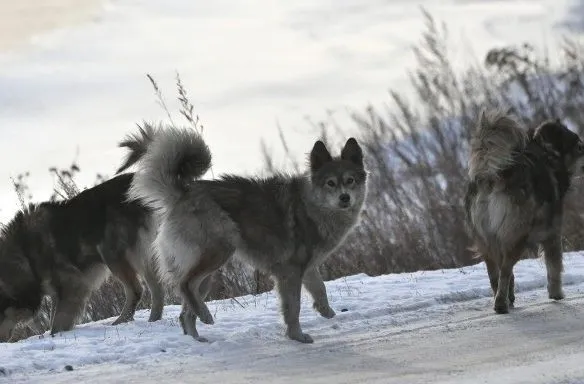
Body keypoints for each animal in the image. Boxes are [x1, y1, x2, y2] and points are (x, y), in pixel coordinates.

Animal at [0, 174, 164, 342]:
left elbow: (57, 322)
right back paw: (153, 321)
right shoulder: (58, 291)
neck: (25, 255)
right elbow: (55, 317)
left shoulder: (74, 283)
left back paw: (120, 322)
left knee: (136, 290)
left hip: (112, 254)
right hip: (142, 256)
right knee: (157, 288)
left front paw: (56, 336)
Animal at [117, 124, 364, 344]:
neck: (311, 205)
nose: (345, 198)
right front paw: (297, 336)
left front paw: (327, 312)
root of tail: (183, 194)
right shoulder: (290, 272)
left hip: (205, 273)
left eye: (350, 181)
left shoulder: (308, 268)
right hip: (219, 250)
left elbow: (320, 289)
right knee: (184, 285)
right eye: (330, 183)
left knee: (185, 309)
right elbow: (293, 308)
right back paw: (206, 316)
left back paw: (198, 338)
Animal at [466, 109, 584, 314]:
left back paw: (502, 298)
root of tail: (493, 176)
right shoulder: (553, 232)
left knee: (494, 272)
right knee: (505, 270)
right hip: (517, 235)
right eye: (578, 146)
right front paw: (556, 293)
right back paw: (501, 303)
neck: (547, 154)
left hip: (487, 238)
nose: (583, 147)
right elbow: (554, 265)